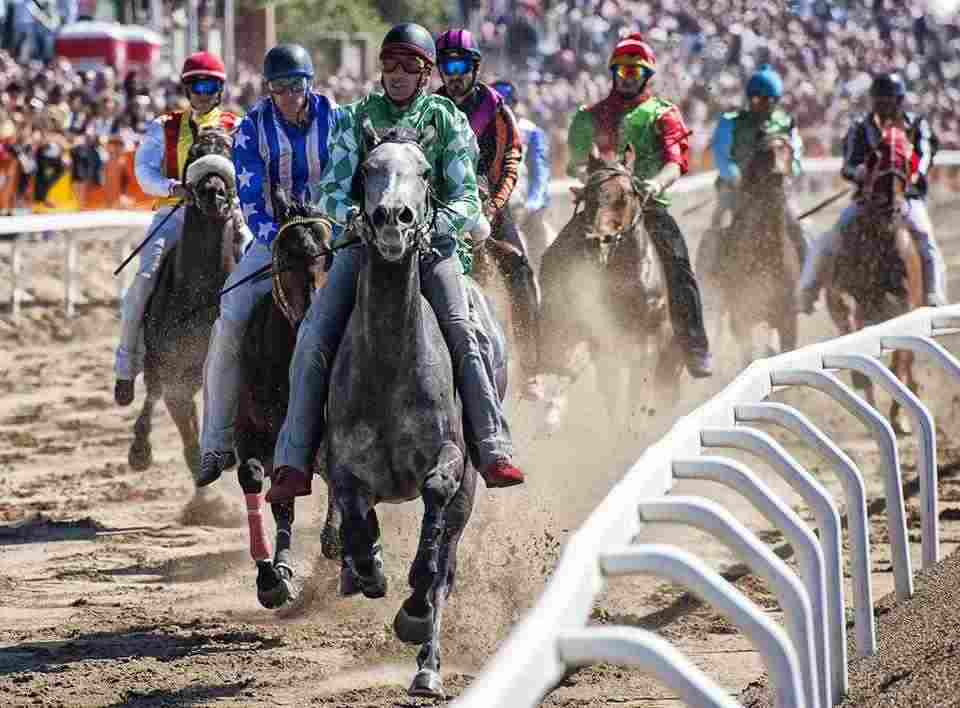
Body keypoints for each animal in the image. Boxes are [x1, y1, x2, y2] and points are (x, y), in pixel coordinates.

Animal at [231, 189, 340, 608]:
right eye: (286, 256)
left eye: (329, 254)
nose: (315, 314)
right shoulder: (253, 429)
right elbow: (257, 481)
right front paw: (271, 576)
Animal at [326, 124, 506, 700]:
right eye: (367, 169)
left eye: (425, 171)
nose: (392, 219)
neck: (389, 364)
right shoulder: (345, 467)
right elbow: (355, 515)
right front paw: (368, 568)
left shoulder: (450, 460)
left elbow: (434, 513)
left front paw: (412, 605)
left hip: (472, 492)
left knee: (447, 566)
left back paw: (427, 665)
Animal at [536, 144, 672, 432]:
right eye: (588, 195)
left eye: (625, 194)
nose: (595, 240)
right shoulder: (602, 340)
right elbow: (611, 393)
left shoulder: (649, 339)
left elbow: (637, 390)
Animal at [696, 129, 804, 368]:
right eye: (764, 150)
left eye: (788, 149)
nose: (777, 172)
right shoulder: (742, 318)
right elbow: (747, 358)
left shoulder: (787, 320)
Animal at [824, 124, 924, 434]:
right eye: (875, 157)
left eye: (906, 160)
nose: (891, 206)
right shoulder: (840, 289)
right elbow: (845, 307)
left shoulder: (907, 301)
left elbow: (899, 358)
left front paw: (900, 417)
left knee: (906, 362)